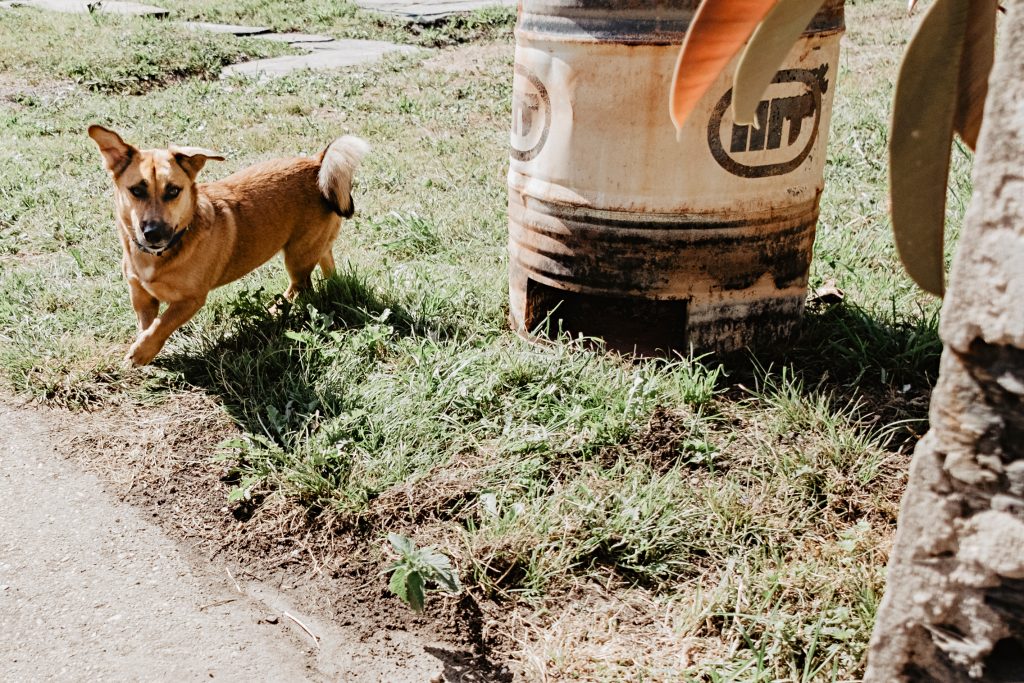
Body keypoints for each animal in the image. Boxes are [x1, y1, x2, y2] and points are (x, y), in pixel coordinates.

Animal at [88, 124, 368, 366]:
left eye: (173, 191)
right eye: (136, 190)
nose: (153, 234)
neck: (162, 254)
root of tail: (317, 162)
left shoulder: (191, 300)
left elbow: (161, 324)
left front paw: (141, 352)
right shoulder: (140, 295)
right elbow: (147, 325)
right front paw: (145, 348)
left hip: (297, 256)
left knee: (300, 288)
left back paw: (272, 311)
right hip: (313, 246)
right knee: (325, 262)